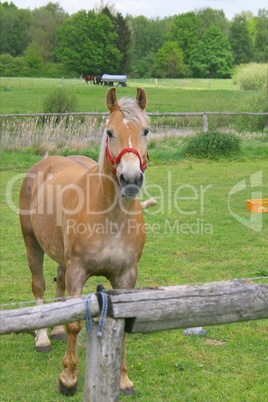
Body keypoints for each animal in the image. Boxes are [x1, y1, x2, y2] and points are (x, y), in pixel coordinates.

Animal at [19, 87, 151, 396]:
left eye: (146, 131)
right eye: (109, 132)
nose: (130, 179)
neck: (111, 218)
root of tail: (45, 162)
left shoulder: (126, 276)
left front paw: (123, 380)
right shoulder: (78, 271)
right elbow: (76, 325)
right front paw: (68, 378)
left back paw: (54, 331)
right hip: (32, 244)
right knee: (39, 285)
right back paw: (43, 338)